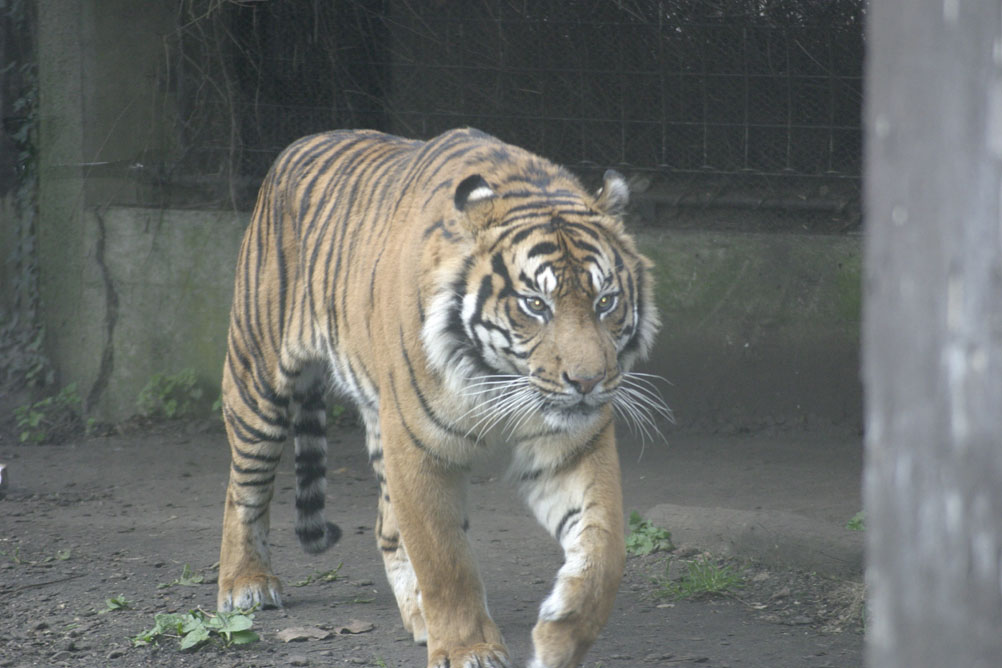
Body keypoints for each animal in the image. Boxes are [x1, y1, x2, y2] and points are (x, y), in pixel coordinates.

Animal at [217, 127, 668, 668]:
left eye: (605, 301)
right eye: (535, 304)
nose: (588, 381)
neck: (497, 378)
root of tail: (298, 144)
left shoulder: (573, 447)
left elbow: (604, 551)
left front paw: (560, 636)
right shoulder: (418, 447)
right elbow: (444, 560)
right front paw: (468, 649)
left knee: (386, 526)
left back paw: (417, 616)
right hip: (256, 380)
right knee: (244, 488)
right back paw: (246, 583)